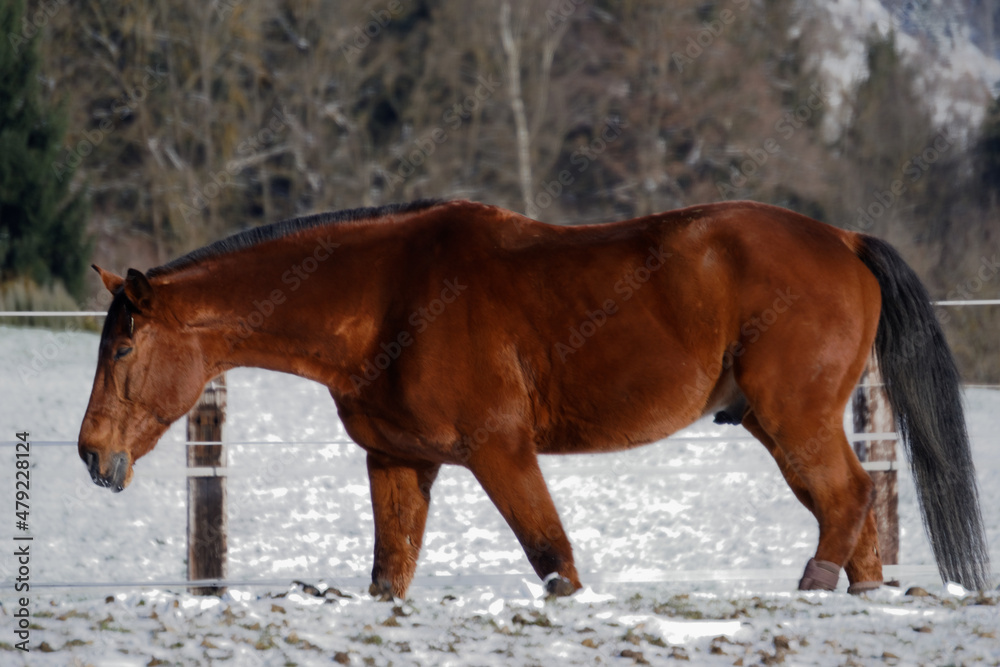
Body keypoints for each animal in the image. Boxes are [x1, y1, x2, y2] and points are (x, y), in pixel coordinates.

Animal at [78, 198, 992, 596]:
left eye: (122, 347)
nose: (92, 454)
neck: (388, 298)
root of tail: (843, 238)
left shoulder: (500, 450)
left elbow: (554, 558)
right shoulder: (399, 461)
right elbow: (389, 573)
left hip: (792, 421)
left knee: (847, 501)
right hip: (787, 425)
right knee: (857, 518)